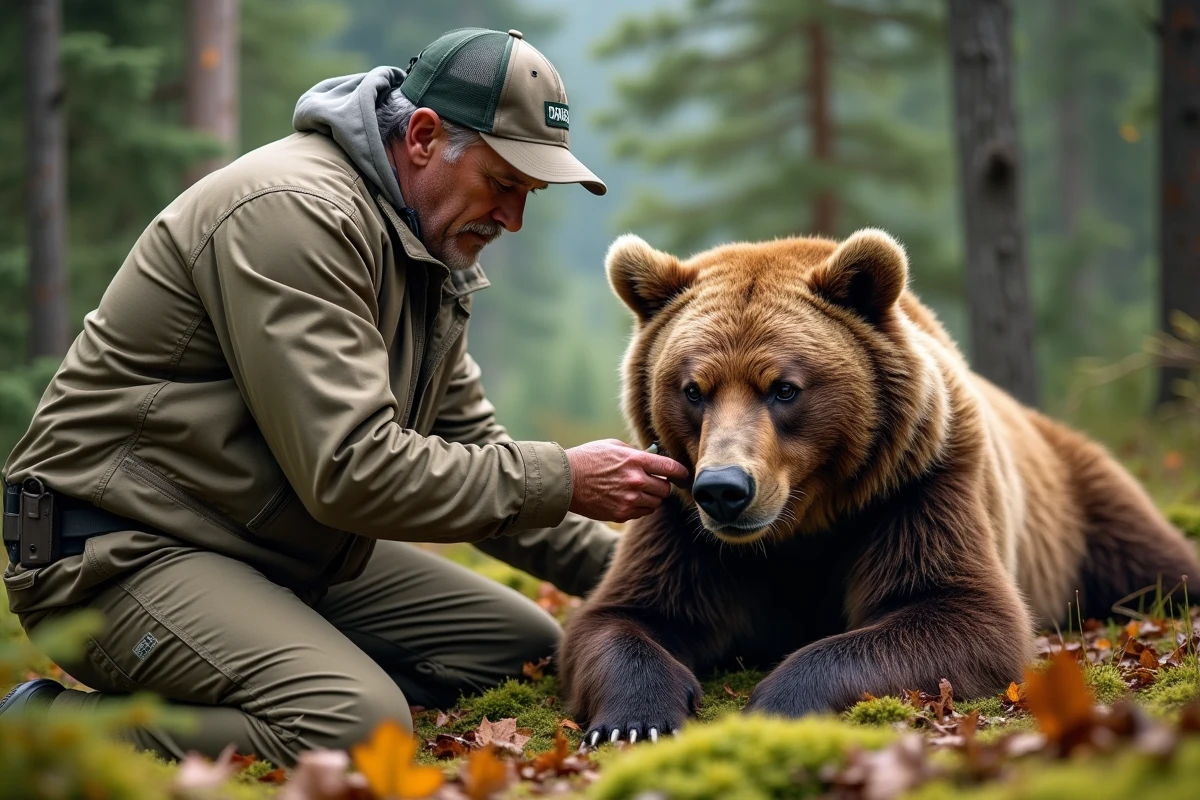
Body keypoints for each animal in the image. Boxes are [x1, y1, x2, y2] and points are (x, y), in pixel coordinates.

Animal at [559, 228, 1200, 745]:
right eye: (693, 389)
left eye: (784, 388)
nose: (724, 489)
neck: (805, 519)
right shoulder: (682, 521)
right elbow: (629, 613)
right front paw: (633, 720)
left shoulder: (915, 488)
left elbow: (959, 610)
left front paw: (777, 701)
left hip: (1082, 495)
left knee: (1153, 563)